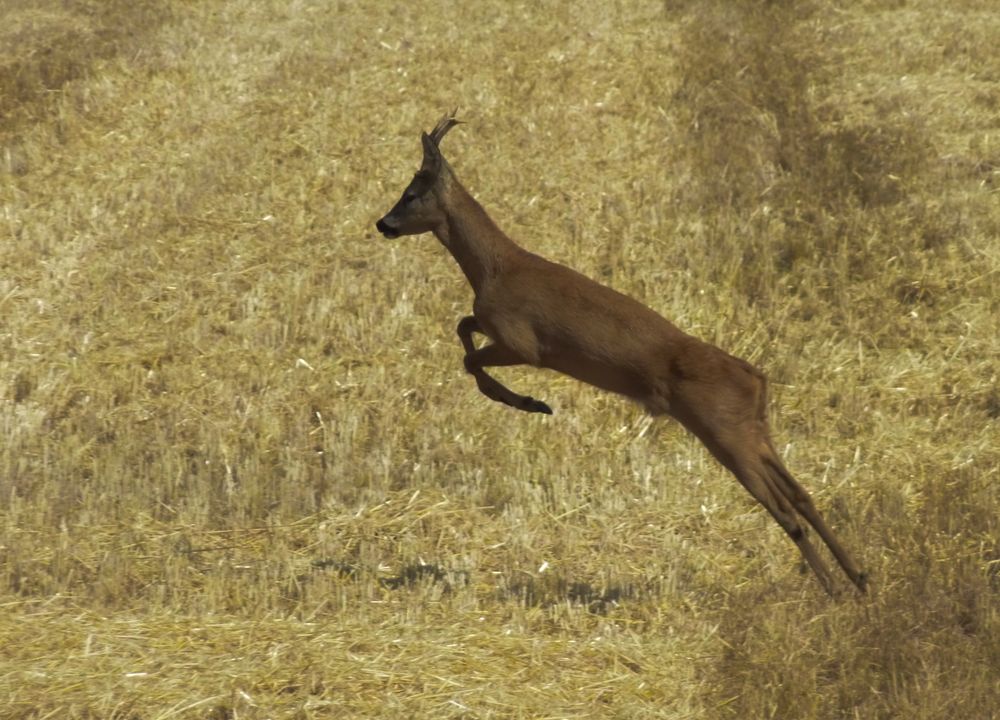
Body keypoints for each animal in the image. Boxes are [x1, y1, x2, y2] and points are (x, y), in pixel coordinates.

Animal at [376, 114, 868, 596]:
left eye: (411, 193)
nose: (383, 224)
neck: (495, 268)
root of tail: (757, 380)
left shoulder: (525, 343)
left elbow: (470, 359)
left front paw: (532, 404)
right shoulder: (494, 326)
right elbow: (462, 326)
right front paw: (529, 402)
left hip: (724, 433)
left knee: (784, 509)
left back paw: (835, 589)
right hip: (754, 430)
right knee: (803, 495)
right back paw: (859, 579)